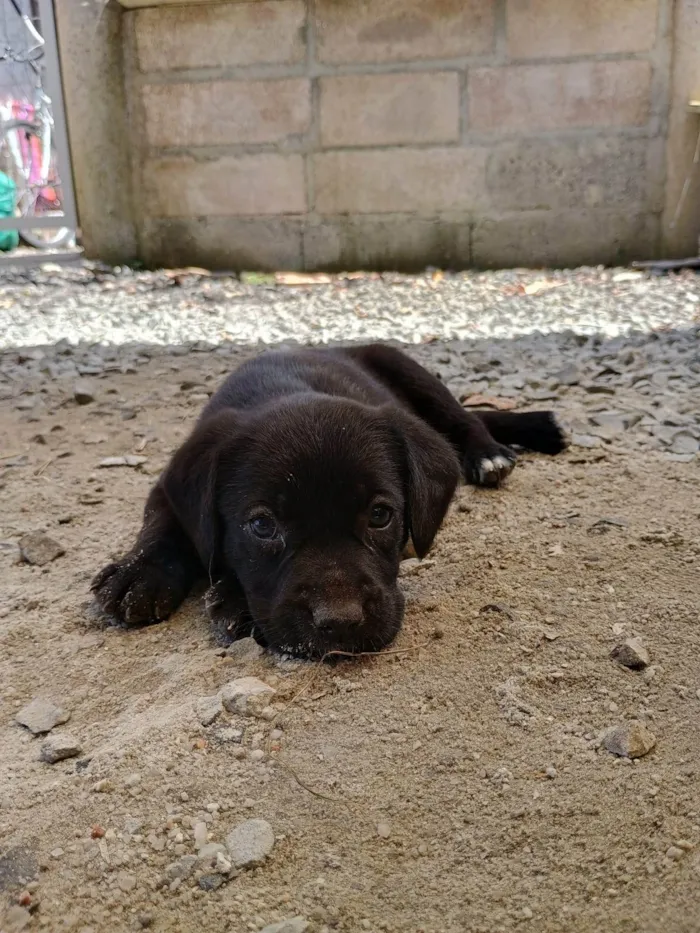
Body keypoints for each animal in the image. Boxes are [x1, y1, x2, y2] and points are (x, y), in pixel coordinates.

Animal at [93, 346, 568, 660]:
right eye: (262, 525)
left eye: (380, 515)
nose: (340, 622)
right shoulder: (170, 484)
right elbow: (161, 519)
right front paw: (140, 574)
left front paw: (229, 596)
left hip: (411, 371)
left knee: (465, 418)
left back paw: (490, 454)